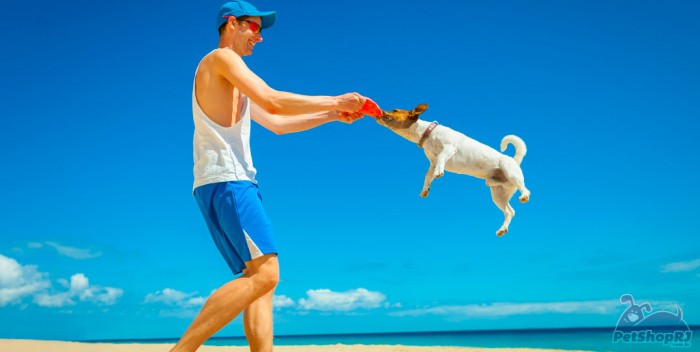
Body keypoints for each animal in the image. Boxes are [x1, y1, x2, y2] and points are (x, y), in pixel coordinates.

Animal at [378, 104, 532, 236]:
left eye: (395, 110)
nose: (381, 111)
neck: (427, 132)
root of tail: (515, 160)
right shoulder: (432, 163)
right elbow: (428, 176)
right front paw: (425, 189)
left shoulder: (448, 149)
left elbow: (441, 159)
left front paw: (439, 173)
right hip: (498, 194)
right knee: (510, 212)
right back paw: (502, 229)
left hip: (511, 174)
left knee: (525, 190)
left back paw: (524, 196)